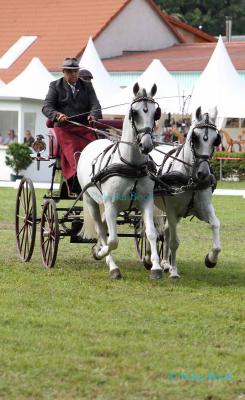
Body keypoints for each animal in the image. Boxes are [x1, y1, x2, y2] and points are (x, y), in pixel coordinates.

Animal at [149, 106, 222, 278]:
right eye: (194, 138)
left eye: (216, 140)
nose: (203, 174)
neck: (190, 179)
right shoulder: (172, 211)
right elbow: (175, 242)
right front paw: (175, 272)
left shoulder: (203, 209)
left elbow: (216, 225)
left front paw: (210, 259)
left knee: (166, 232)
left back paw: (165, 263)